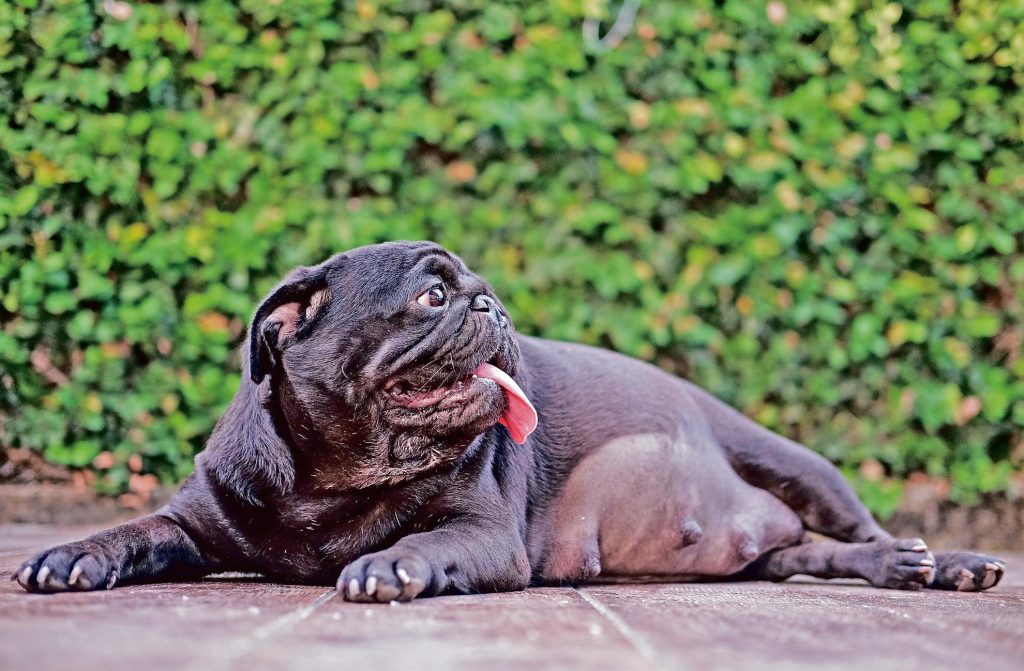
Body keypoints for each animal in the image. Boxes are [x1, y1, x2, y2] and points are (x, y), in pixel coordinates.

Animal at [14, 241, 1005, 600]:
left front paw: (390, 566)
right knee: (805, 555)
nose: (490, 303)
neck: (334, 478)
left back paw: (936, 563)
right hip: (773, 543)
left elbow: (425, 542)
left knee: (856, 533)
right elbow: (138, 531)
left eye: (473, 289)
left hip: (796, 464)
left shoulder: (483, 535)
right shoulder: (196, 521)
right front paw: (73, 555)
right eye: (430, 296)